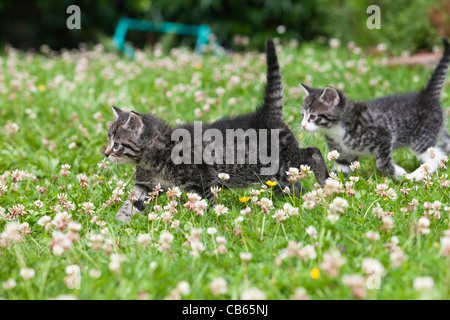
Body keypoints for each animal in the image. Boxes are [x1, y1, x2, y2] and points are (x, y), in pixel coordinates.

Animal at [106, 38, 330, 221]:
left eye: (116, 144)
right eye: (108, 141)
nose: (106, 153)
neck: (151, 160)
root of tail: (266, 115)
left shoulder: (203, 179)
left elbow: (206, 202)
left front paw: (210, 219)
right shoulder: (147, 186)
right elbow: (130, 204)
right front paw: (117, 223)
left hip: (282, 160)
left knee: (313, 152)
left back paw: (323, 180)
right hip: (274, 172)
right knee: (292, 182)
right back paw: (291, 199)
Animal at [298, 38, 450, 180]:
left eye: (313, 116)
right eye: (302, 115)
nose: (302, 125)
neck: (336, 130)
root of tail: (426, 95)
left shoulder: (384, 137)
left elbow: (382, 163)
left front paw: (399, 173)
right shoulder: (343, 156)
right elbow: (338, 171)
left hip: (421, 137)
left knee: (435, 157)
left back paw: (416, 175)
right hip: (436, 130)